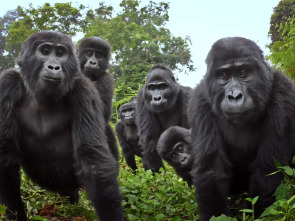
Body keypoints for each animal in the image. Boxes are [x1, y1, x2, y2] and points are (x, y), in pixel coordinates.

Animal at [0, 31, 124, 221]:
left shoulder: (85, 89)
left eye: (60, 53)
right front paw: (15, 214)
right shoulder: (7, 84)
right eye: (45, 51)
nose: (54, 67)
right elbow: (5, 155)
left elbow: (92, 159)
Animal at [187, 36, 295, 221]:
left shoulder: (284, 95)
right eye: (224, 75)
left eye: (244, 72)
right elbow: (212, 170)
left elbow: (268, 169)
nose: (234, 96)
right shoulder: (199, 102)